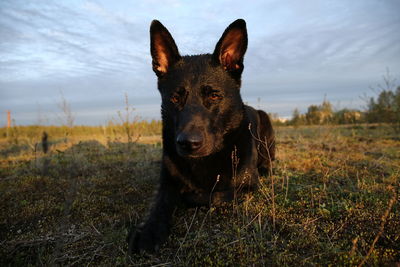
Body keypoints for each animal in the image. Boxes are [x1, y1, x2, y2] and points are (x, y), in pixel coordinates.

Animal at [128, 19, 276, 255]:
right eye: (175, 98)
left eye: (214, 96)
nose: (188, 143)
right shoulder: (166, 182)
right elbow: (160, 202)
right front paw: (149, 230)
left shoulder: (247, 186)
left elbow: (214, 195)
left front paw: (190, 196)